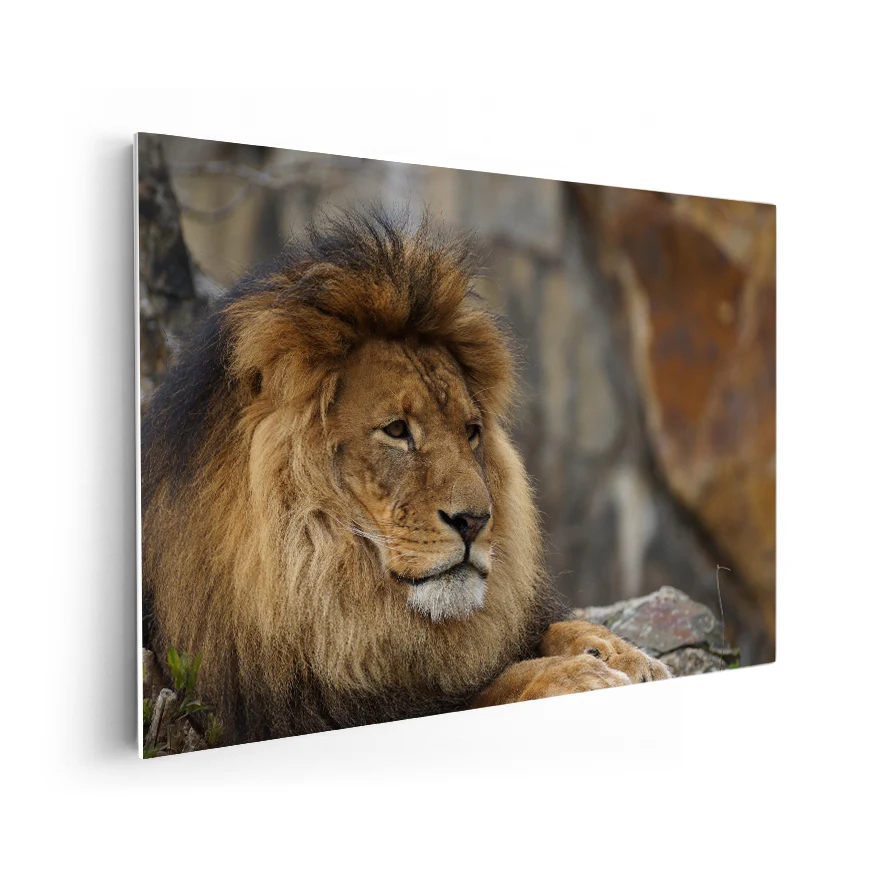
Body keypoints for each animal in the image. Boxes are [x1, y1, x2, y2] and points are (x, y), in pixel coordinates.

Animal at [141, 209, 670, 746]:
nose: (475, 521)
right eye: (397, 430)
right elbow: (480, 695)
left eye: (471, 432)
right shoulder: (295, 712)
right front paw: (575, 675)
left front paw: (622, 654)